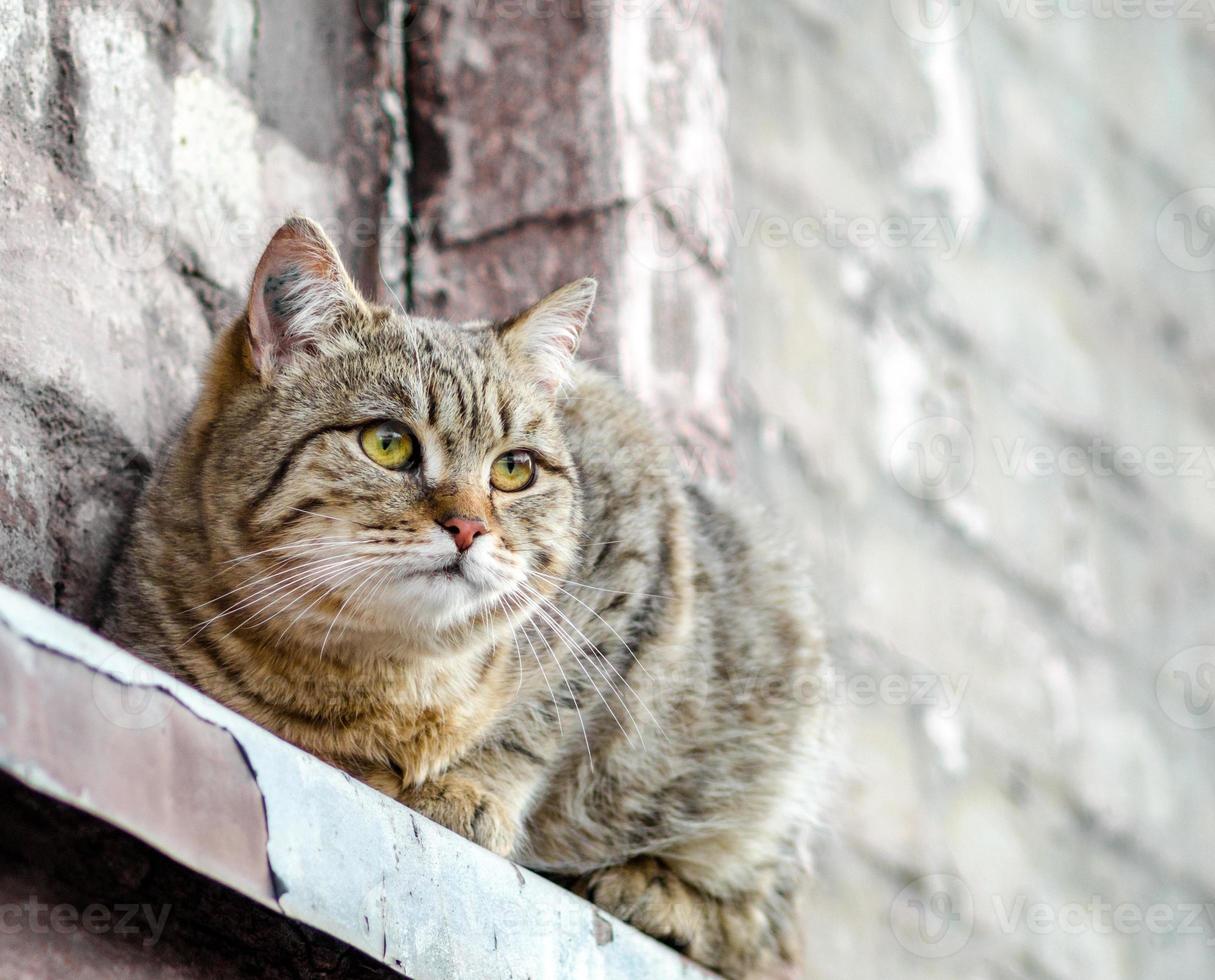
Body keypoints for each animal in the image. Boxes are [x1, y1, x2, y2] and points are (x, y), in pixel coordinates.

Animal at [106, 218, 835, 976]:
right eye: (388, 443)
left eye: (513, 469)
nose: (468, 526)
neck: (370, 672)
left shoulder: (639, 542)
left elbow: (540, 717)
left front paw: (472, 786)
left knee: (765, 930)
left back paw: (658, 891)